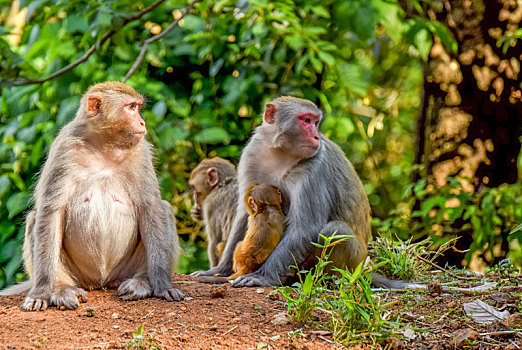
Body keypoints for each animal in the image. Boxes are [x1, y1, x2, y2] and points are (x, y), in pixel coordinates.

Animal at [0, 81, 184, 308]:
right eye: (131, 107)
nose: (142, 122)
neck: (105, 146)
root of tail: (101, 282)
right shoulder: (64, 148)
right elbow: (51, 212)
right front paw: (41, 292)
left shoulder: (141, 152)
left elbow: (151, 208)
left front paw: (162, 285)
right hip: (79, 275)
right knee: (36, 218)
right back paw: (60, 288)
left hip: (124, 269)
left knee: (163, 209)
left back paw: (141, 281)